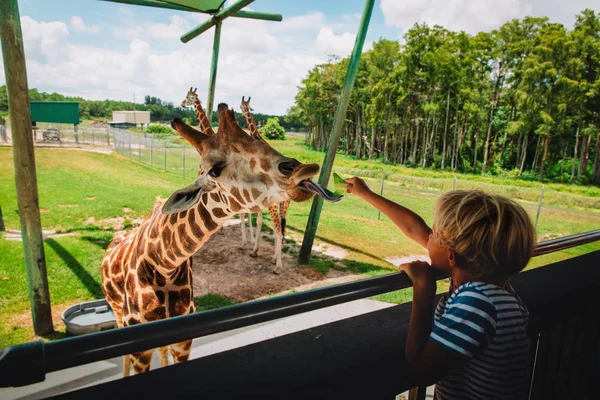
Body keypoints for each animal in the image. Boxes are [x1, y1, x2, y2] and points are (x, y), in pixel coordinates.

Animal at [241, 95, 292, 274]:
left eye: (243, 106)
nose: (241, 112)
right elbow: (258, 220)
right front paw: (254, 249)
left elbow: (258, 220)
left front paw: (254, 250)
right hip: (284, 205)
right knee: (281, 226)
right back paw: (274, 259)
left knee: (278, 229)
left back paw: (277, 265)